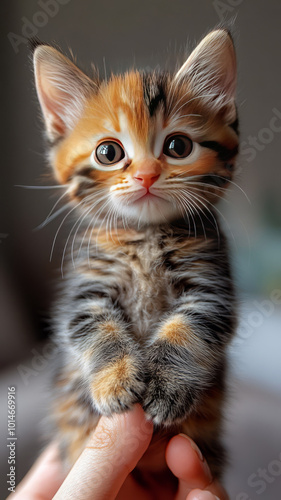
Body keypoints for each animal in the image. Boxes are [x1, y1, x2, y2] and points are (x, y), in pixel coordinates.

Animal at [31, 28, 237, 480]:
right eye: (108, 152)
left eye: (178, 146)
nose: (146, 175)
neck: (146, 236)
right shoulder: (85, 288)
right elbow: (93, 327)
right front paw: (114, 381)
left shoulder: (211, 285)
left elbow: (190, 328)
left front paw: (167, 384)